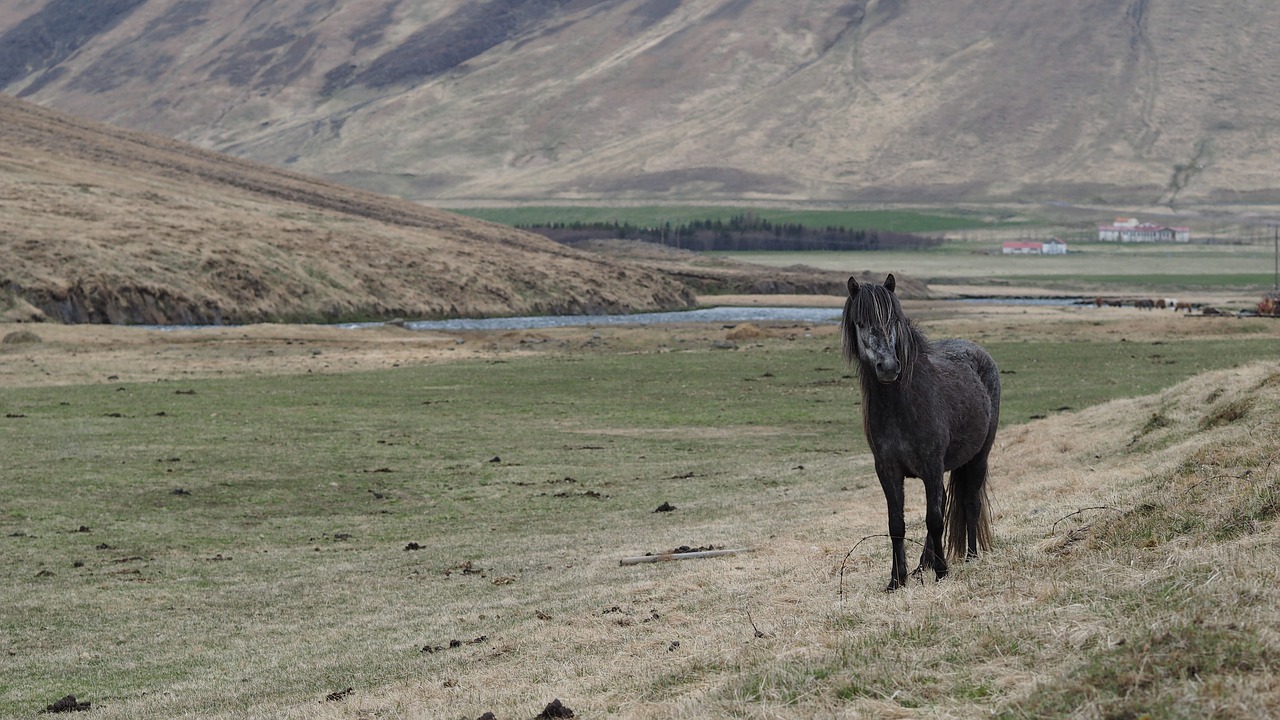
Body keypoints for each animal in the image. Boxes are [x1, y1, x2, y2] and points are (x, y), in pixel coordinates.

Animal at [839, 274, 998, 589]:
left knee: (970, 503)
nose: (888, 368)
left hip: (978, 458)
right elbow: (896, 524)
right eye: (860, 322)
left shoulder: (931, 466)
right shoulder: (887, 470)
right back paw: (924, 564)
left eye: (894, 320)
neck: (901, 407)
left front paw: (942, 572)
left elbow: (934, 519)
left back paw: (970, 557)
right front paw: (896, 580)